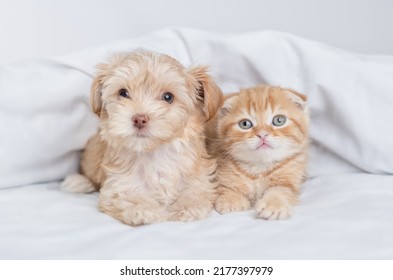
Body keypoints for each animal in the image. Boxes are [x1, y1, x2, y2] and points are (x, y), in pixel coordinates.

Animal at [64, 50, 224, 225]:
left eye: (168, 97)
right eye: (123, 93)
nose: (139, 119)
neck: (153, 153)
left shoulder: (200, 179)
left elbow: (195, 193)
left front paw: (185, 209)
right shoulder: (118, 186)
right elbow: (129, 197)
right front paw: (145, 210)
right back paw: (79, 182)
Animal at [205, 84, 310, 220]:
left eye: (279, 120)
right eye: (245, 124)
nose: (262, 134)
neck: (259, 168)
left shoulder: (289, 180)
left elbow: (280, 191)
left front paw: (273, 205)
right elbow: (225, 187)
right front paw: (232, 199)